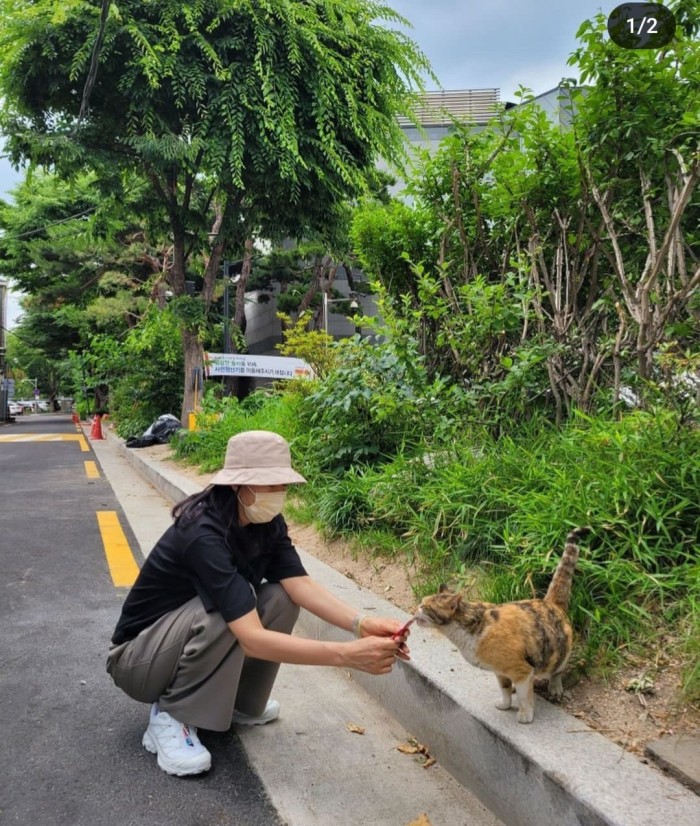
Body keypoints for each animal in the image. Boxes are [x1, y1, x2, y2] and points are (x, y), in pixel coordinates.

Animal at [416, 528, 592, 720]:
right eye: (421, 602)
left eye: (425, 607)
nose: (416, 608)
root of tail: (551, 602)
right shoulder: (499, 671)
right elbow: (504, 689)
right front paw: (505, 705)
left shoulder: (521, 671)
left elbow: (524, 696)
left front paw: (525, 716)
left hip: (557, 655)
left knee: (557, 670)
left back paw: (555, 687)